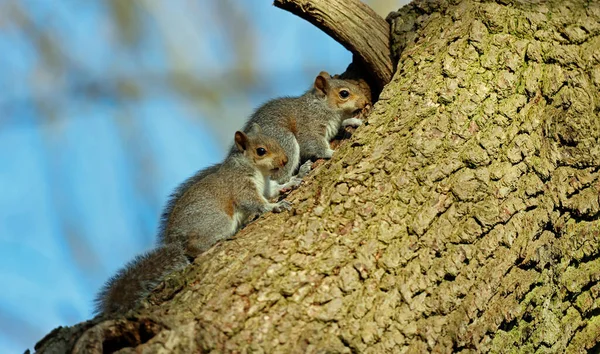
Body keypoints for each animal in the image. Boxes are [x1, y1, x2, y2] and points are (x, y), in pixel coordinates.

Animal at [95, 124, 292, 316]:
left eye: (275, 141)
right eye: (261, 151)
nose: (285, 160)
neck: (258, 171)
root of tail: (177, 242)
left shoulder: (265, 187)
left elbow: (273, 190)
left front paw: (291, 183)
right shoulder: (240, 185)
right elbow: (253, 201)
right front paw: (274, 206)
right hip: (218, 221)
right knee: (194, 247)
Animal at [236, 72, 368, 188]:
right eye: (344, 93)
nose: (365, 102)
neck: (321, 106)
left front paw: (353, 121)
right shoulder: (308, 126)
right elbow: (311, 143)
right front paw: (331, 152)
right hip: (284, 141)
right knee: (277, 178)